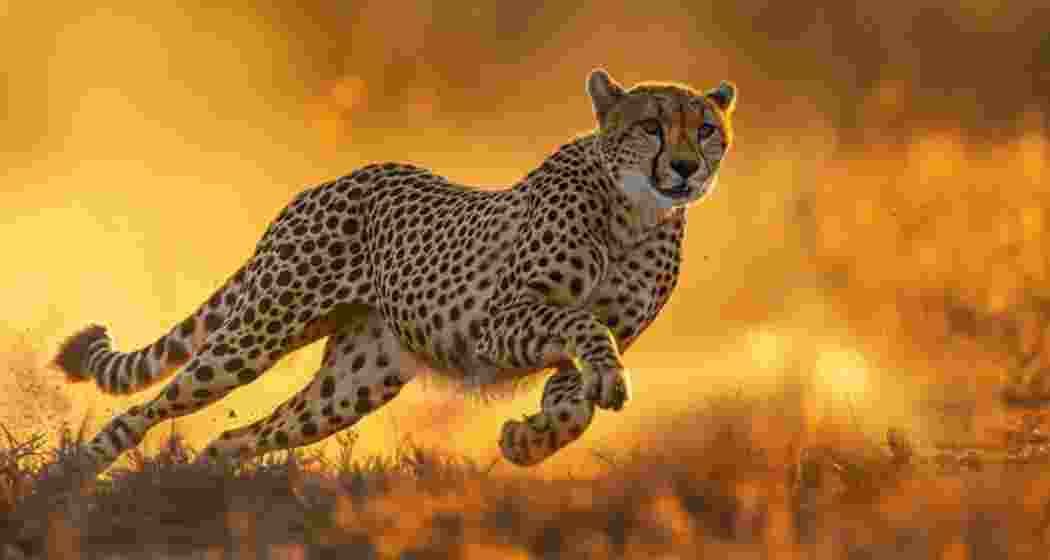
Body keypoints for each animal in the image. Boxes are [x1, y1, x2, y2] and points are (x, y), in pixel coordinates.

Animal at [51, 69, 737, 476]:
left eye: (706, 130)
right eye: (651, 127)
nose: (685, 167)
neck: (634, 213)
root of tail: (327, 183)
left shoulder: (589, 340)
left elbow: (577, 403)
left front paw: (531, 441)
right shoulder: (502, 321)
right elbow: (585, 329)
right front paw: (576, 406)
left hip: (354, 384)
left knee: (242, 435)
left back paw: (205, 488)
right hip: (254, 336)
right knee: (151, 408)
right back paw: (73, 475)